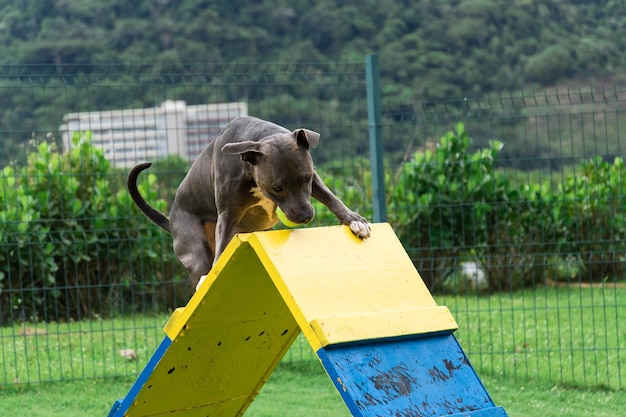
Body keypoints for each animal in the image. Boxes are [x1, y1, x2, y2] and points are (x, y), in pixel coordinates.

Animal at [129, 115, 368, 288]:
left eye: (306, 179)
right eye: (277, 188)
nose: (305, 216)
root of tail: (170, 220)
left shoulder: (314, 180)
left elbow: (330, 197)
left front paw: (354, 220)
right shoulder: (228, 214)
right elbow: (222, 246)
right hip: (193, 245)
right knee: (201, 261)